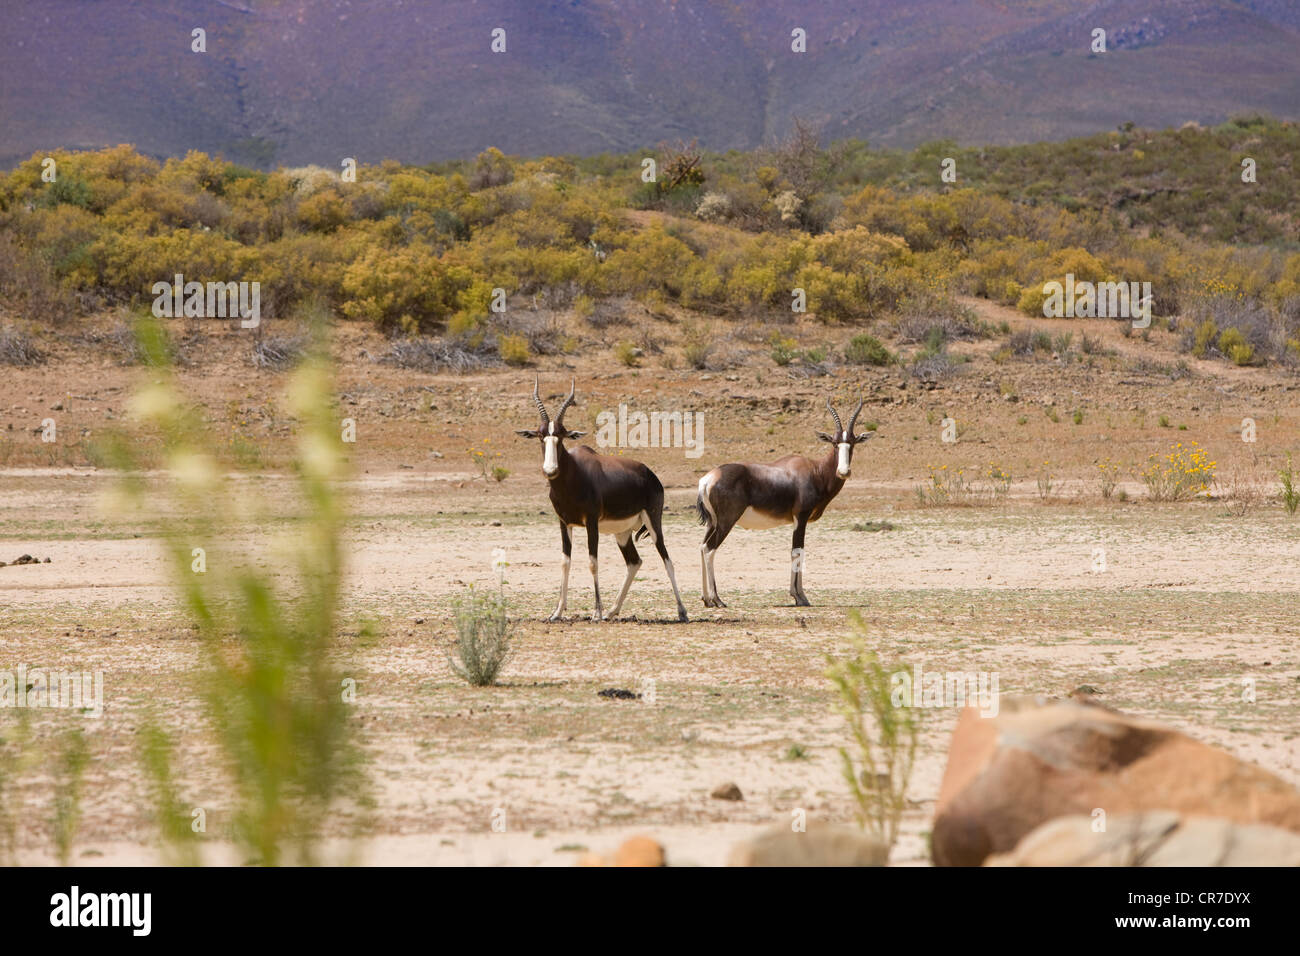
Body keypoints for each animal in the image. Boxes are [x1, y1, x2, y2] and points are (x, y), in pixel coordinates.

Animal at [514, 377, 691, 624]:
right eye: (541, 436)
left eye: (562, 435)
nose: (550, 470)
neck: (575, 473)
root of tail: (650, 474)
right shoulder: (564, 523)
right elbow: (565, 562)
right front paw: (557, 612)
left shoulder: (591, 523)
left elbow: (592, 562)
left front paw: (596, 612)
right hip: (623, 533)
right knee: (634, 561)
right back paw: (612, 611)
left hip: (653, 522)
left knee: (667, 559)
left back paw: (681, 612)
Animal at [691, 395, 873, 606]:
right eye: (835, 443)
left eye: (852, 443)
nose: (844, 471)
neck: (815, 470)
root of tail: (708, 479)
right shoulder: (800, 517)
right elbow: (797, 551)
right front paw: (800, 596)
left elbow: (797, 551)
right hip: (726, 522)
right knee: (709, 549)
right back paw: (717, 599)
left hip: (712, 523)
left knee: (701, 547)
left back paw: (706, 599)